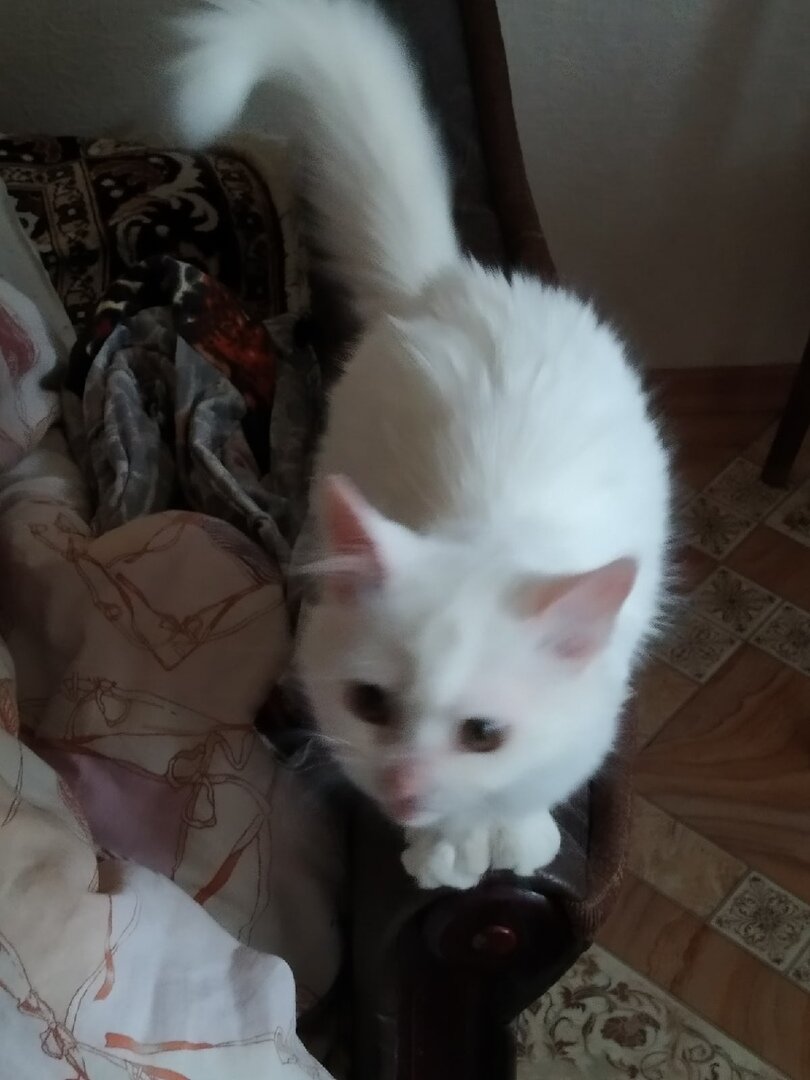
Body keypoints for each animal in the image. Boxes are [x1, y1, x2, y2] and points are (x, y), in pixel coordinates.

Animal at [172, 0, 671, 890]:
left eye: (483, 735)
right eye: (371, 705)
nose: (404, 784)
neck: (486, 530)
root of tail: (452, 279)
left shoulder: (586, 729)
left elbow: (526, 788)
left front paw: (511, 833)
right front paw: (446, 848)